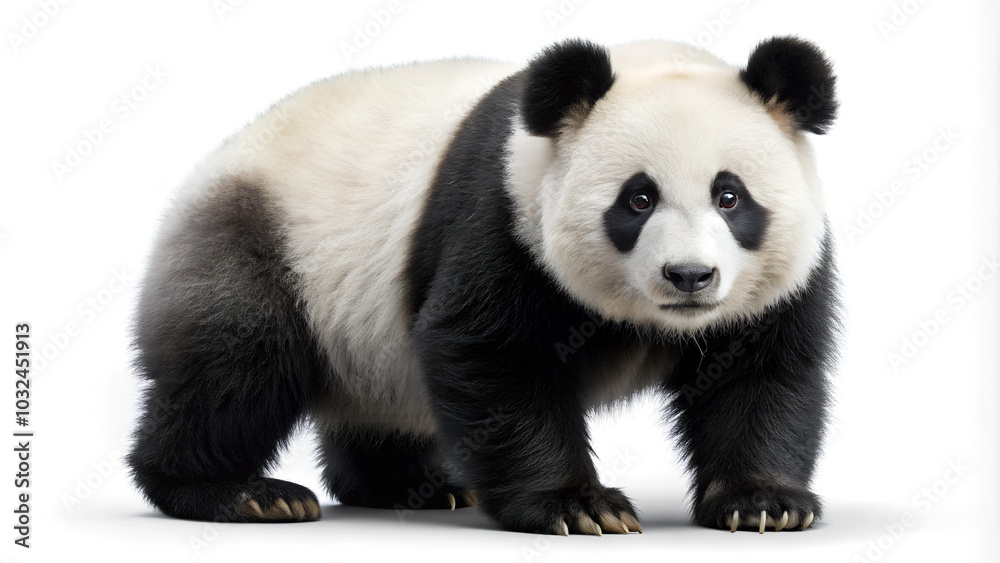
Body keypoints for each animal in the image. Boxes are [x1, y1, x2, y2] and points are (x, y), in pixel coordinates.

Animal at [127, 36, 839, 536]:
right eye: (638, 199)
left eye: (730, 196)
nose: (689, 276)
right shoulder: (502, 218)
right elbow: (490, 355)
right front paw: (577, 506)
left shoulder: (777, 282)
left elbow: (759, 373)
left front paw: (763, 503)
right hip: (265, 241)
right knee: (235, 365)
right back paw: (240, 492)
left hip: (365, 336)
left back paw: (413, 484)